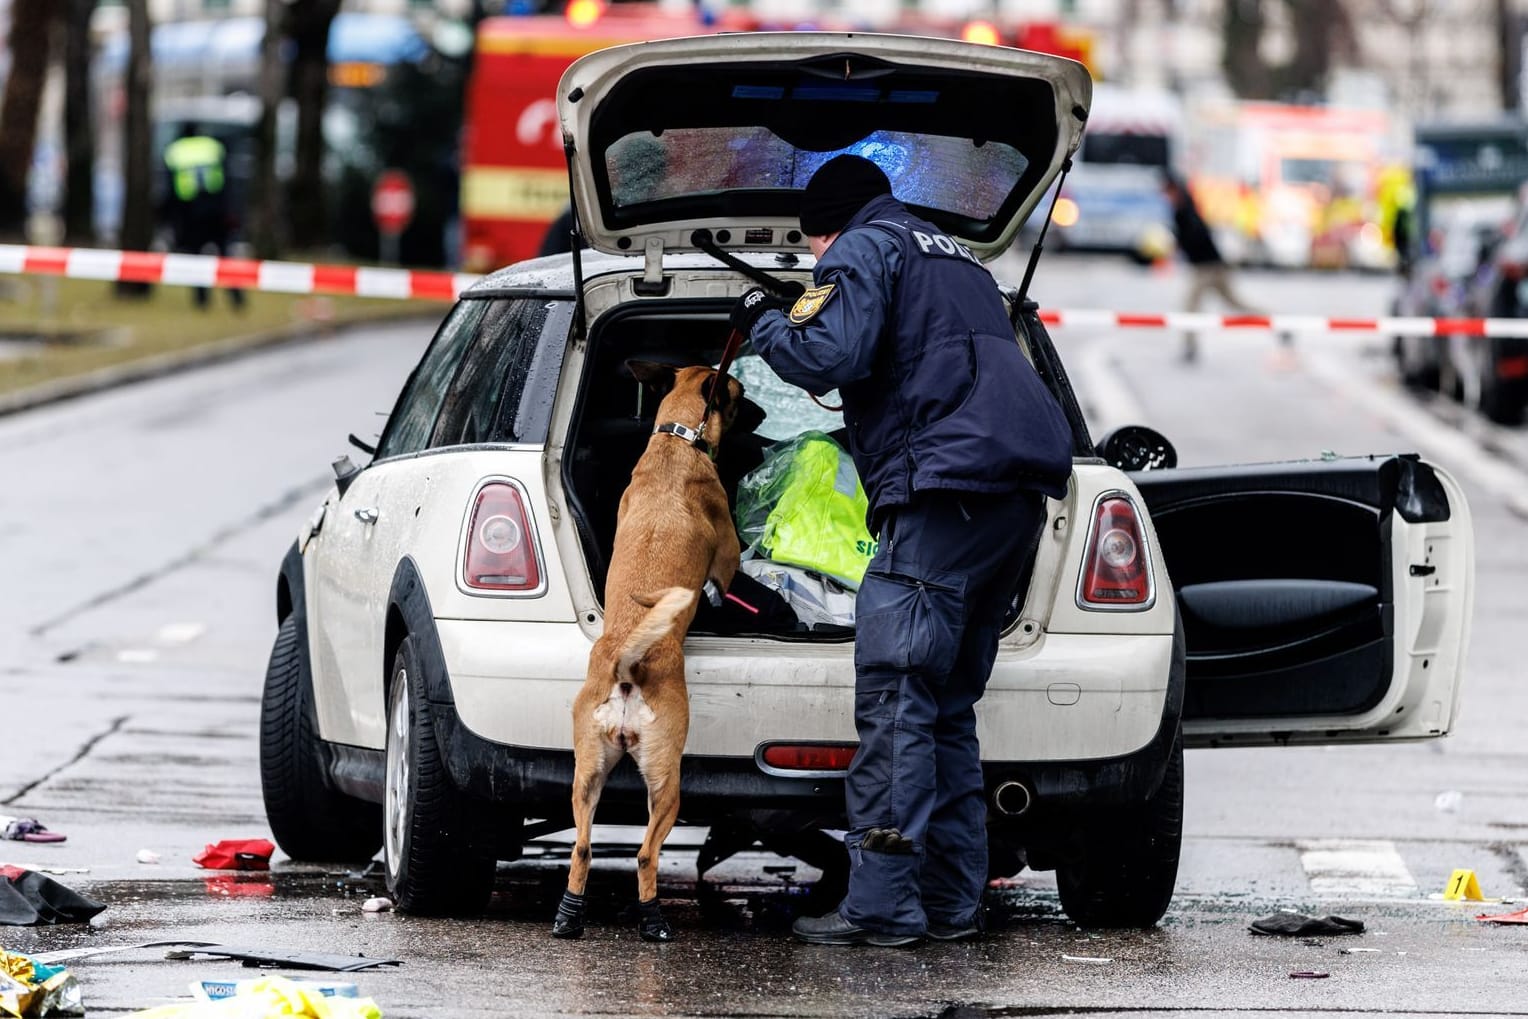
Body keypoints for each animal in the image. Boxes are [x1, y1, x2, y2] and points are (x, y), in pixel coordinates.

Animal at [556, 360, 745, 941]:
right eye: (738, 394)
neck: (676, 441)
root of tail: (627, 663)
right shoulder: (727, 556)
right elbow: (728, 569)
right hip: (667, 783)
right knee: (644, 855)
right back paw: (653, 921)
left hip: (587, 777)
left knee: (582, 849)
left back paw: (568, 917)